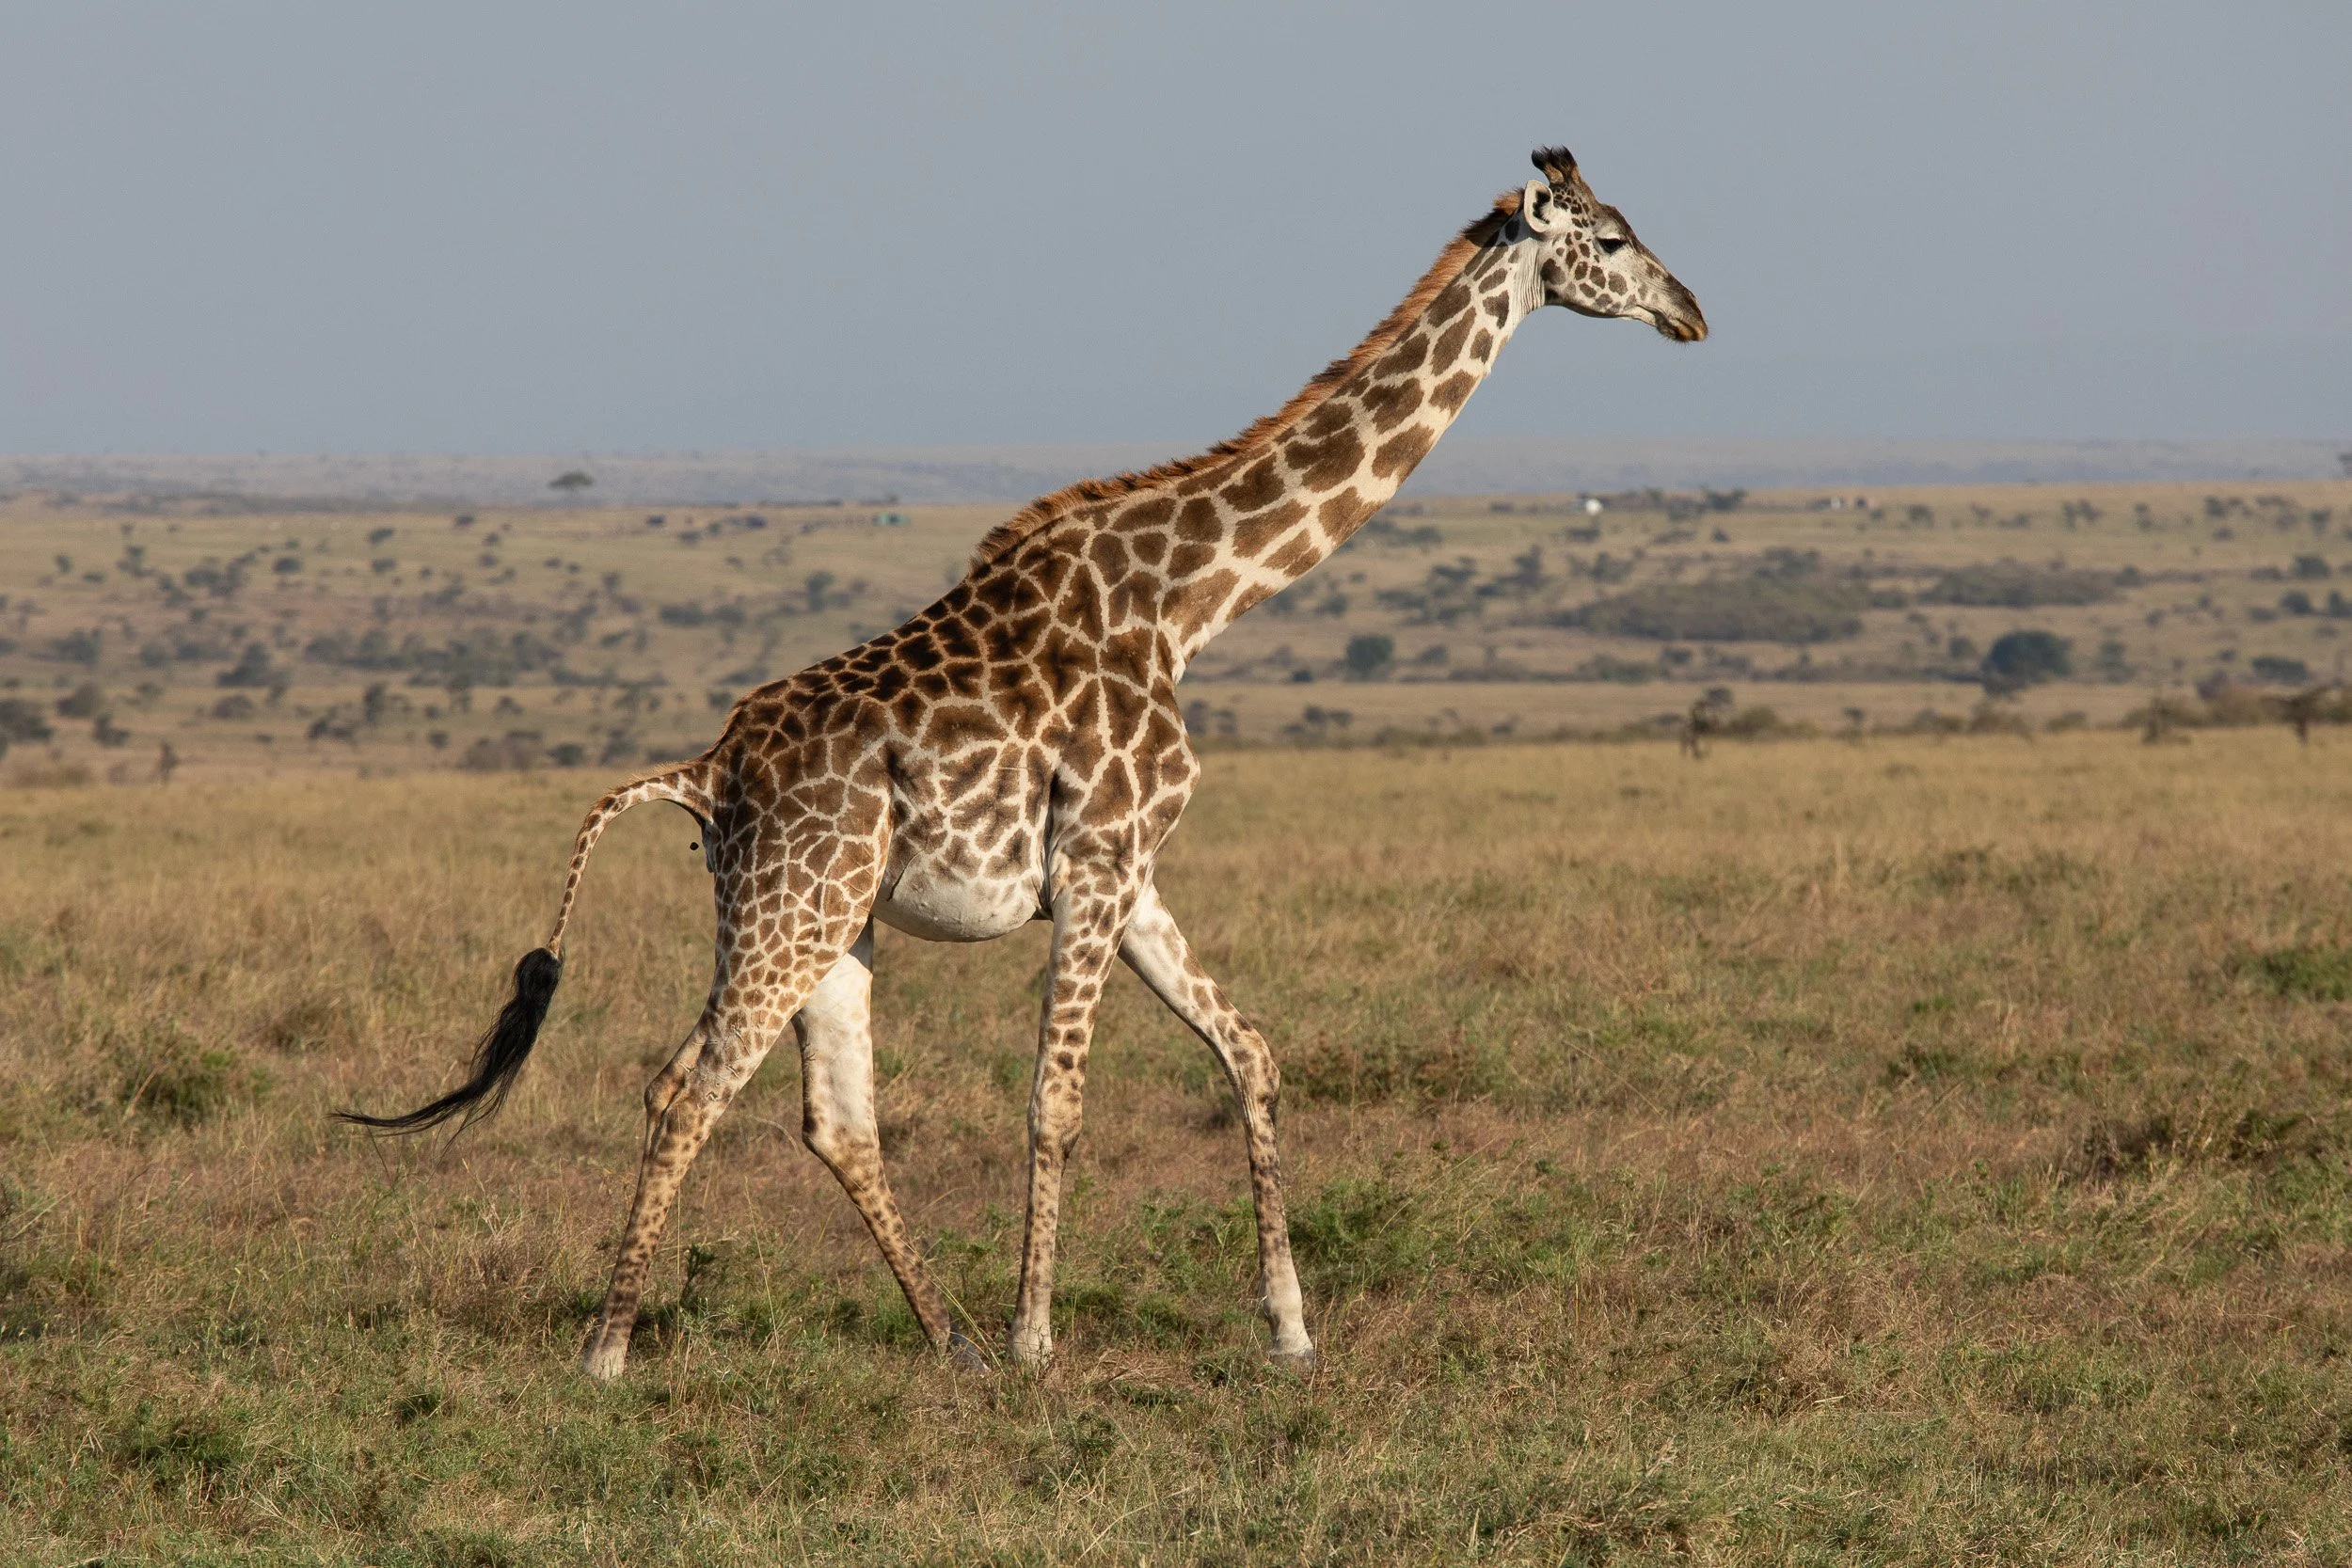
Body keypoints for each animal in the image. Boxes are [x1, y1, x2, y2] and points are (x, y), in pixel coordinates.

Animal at [340, 147, 1706, 1378]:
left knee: (832, 1116)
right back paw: (612, 1348)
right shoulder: (1096, 863)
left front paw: (1290, 1331)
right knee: (690, 1086)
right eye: (1612, 237)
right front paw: (1040, 1337)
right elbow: (1057, 1099)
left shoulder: (1131, 871)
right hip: (793, 905)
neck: (1189, 600)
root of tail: (707, 770)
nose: (1693, 312)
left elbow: (1251, 1051)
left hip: (833, 919)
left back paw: (944, 1339)